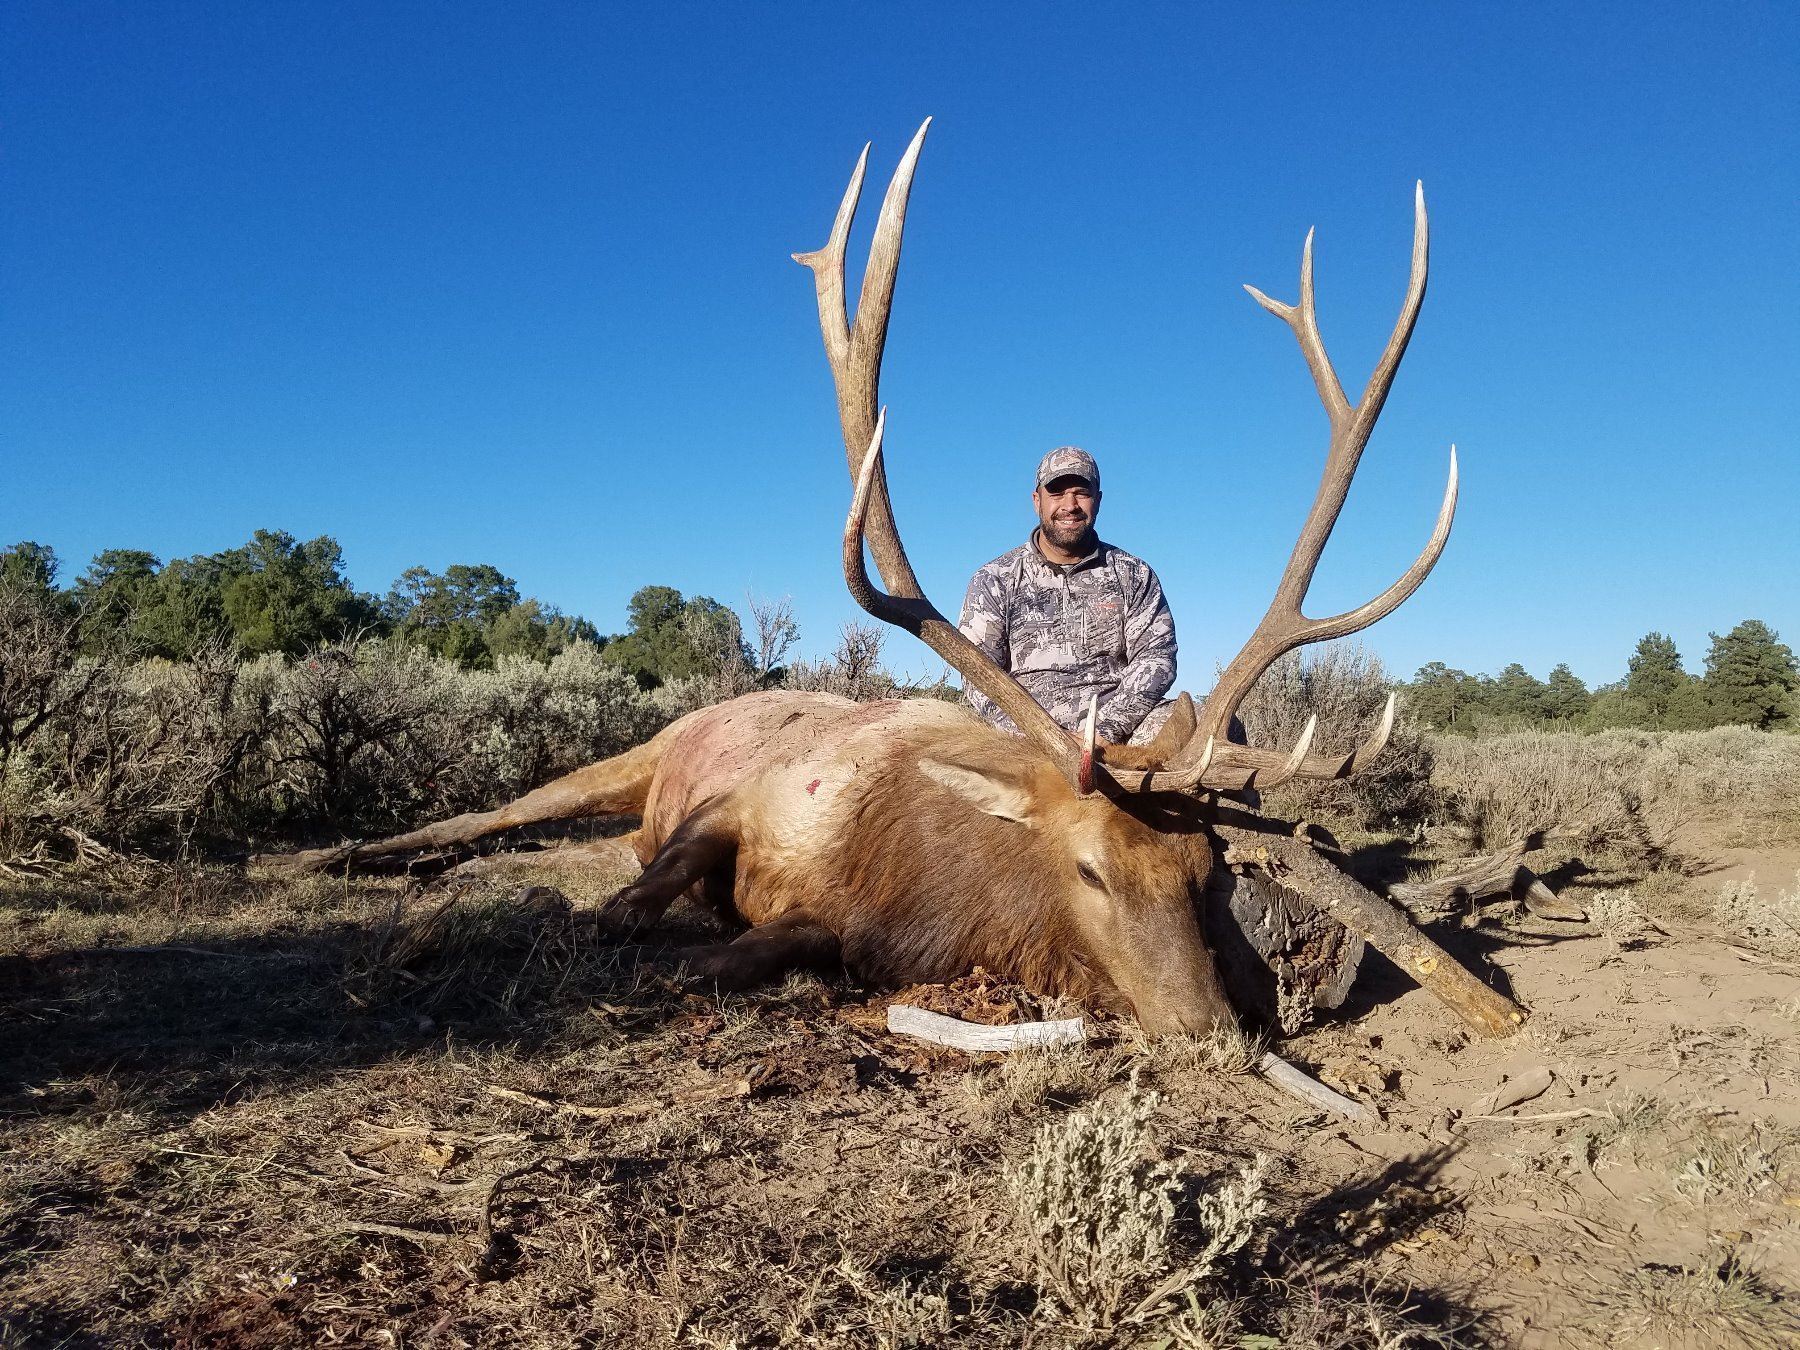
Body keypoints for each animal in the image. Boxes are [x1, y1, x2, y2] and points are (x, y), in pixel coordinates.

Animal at [266, 122, 1525, 1041]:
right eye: (1089, 868)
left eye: (1201, 873)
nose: (1217, 1031)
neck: (904, 877)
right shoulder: (734, 806)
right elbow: (630, 906)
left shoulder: (838, 928)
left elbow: (762, 947)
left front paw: (704, 958)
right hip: (636, 755)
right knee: (494, 812)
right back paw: (341, 855)